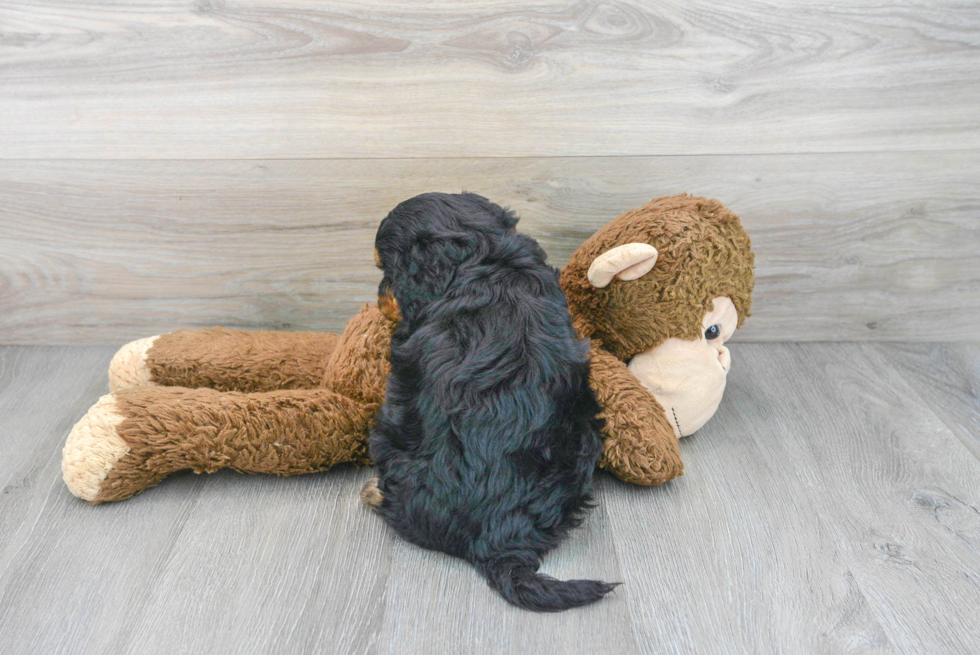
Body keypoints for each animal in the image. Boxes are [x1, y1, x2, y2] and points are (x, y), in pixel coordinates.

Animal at [364, 192, 616, 612]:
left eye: (388, 270)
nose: (379, 300)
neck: (486, 258)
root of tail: (494, 538)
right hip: (585, 431)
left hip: (389, 434)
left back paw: (372, 490)